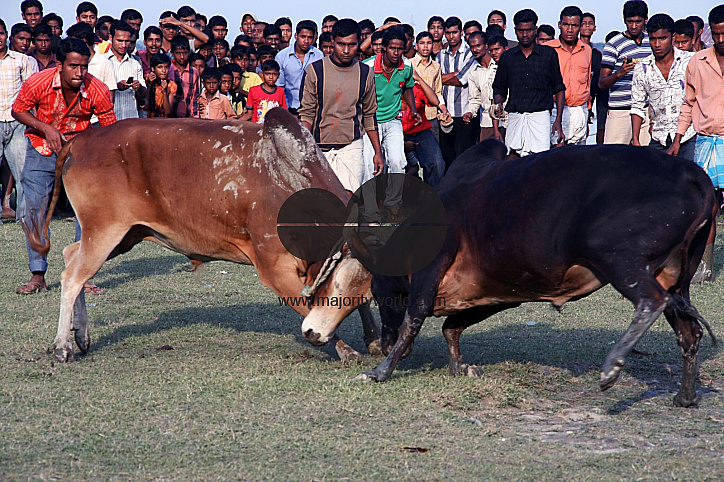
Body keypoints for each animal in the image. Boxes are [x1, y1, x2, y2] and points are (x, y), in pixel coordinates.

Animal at [24, 108, 380, 363]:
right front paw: (346, 350)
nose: (314, 337)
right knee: (72, 276)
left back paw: (81, 335)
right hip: (104, 232)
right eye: (335, 287)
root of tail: (81, 140)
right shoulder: (274, 270)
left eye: (363, 298)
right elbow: (307, 308)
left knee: (71, 257)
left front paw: (375, 338)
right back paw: (62, 346)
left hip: (124, 235)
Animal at [302, 140, 718, 407]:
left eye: (379, 292)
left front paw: (381, 370)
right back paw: (685, 396)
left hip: (616, 254)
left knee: (650, 300)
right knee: (689, 332)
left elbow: (412, 323)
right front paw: (459, 366)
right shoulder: (497, 290)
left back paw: (612, 366)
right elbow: (452, 326)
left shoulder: (430, 273)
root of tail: (688, 171)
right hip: (674, 279)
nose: (380, 344)